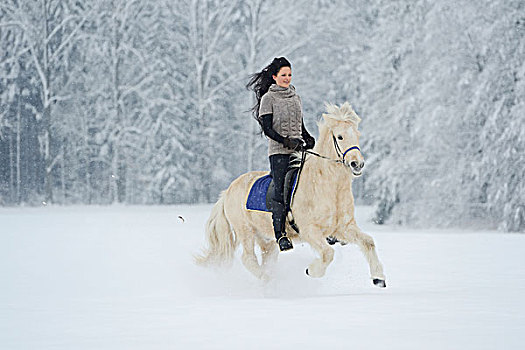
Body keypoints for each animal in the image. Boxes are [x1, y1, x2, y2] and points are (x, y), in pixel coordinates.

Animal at [195, 102, 384, 288]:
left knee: (266, 259)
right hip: (245, 230)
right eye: (339, 137)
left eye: (357, 134)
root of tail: (228, 191)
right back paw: (269, 281)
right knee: (248, 259)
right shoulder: (310, 230)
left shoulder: (344, 227)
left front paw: (379, 278)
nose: (357, 164)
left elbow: (368, 242)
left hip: (266, 239)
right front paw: (311, 271)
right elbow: (328, 253)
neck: (330, 188)